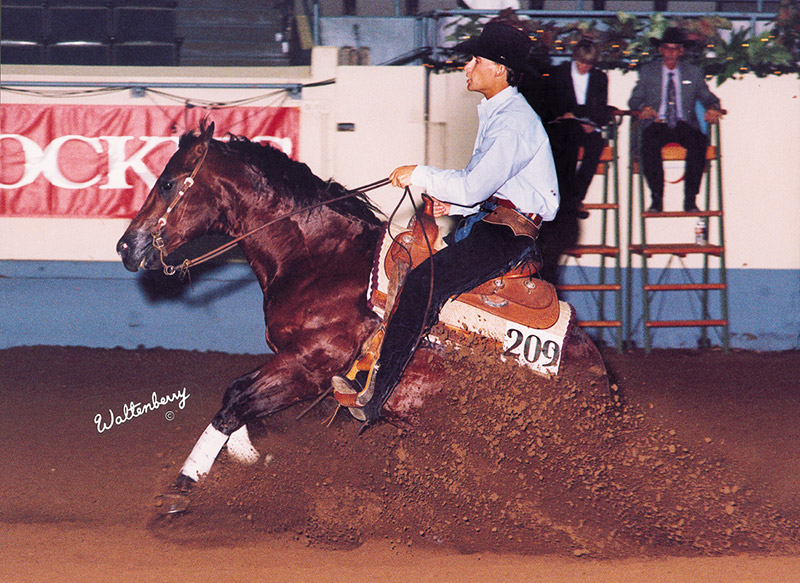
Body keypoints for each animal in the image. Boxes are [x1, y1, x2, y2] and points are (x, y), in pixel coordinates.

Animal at [117, 122, 606, 501]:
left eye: (167, 182)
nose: (125, 246)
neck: (319, 259)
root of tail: (600, 374)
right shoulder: (292, 360)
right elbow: (234, 394)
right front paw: (251, 458)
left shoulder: (310, 366)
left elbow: (235, 405)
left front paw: (183, 487)